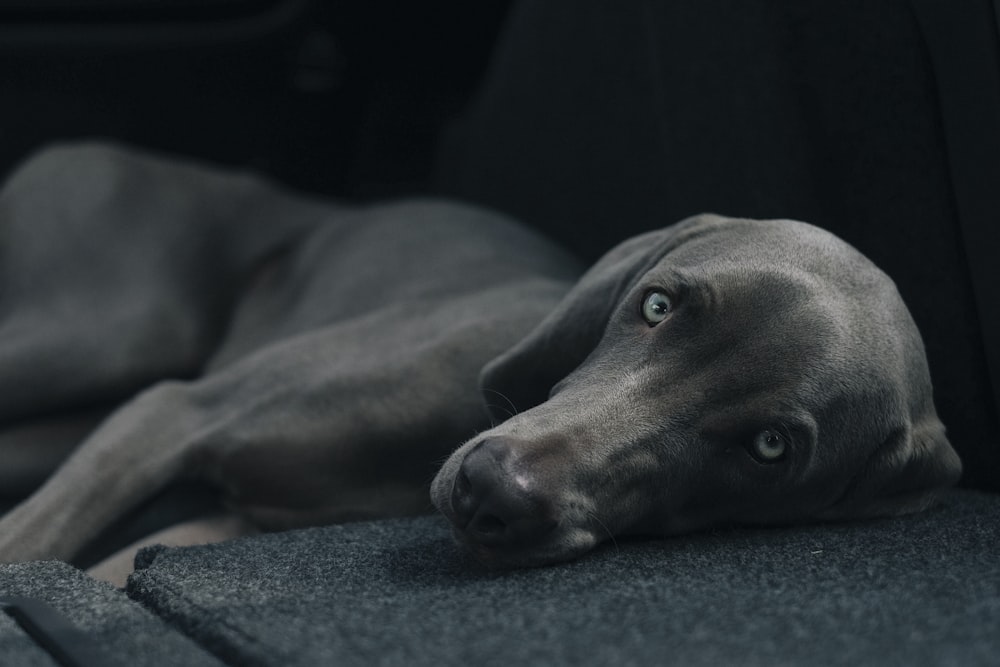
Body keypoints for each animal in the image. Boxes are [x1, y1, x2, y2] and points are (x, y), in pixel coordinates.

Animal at [0, 144, 960, 572]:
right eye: (657, 305)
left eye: (770, 448)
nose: (489, 490)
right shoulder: (173, 412)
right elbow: (27, 546)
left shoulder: (222, 523)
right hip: (103, 330)